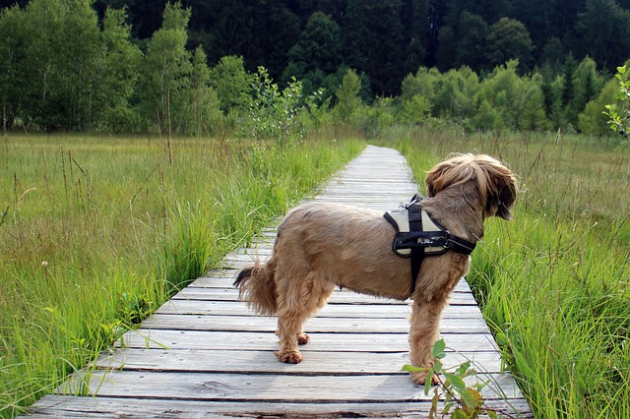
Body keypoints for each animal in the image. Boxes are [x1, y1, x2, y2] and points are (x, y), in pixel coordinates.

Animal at [235, 153, 516, 384]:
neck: (445, 223)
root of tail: (286, 220)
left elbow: (432, 334)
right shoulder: (429, 296)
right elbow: (424, 335)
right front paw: (424, 373)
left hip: (317, 283)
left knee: (297, 311)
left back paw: (298, 336)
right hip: (298, 275)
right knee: (287, 312)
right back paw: (289, 351)